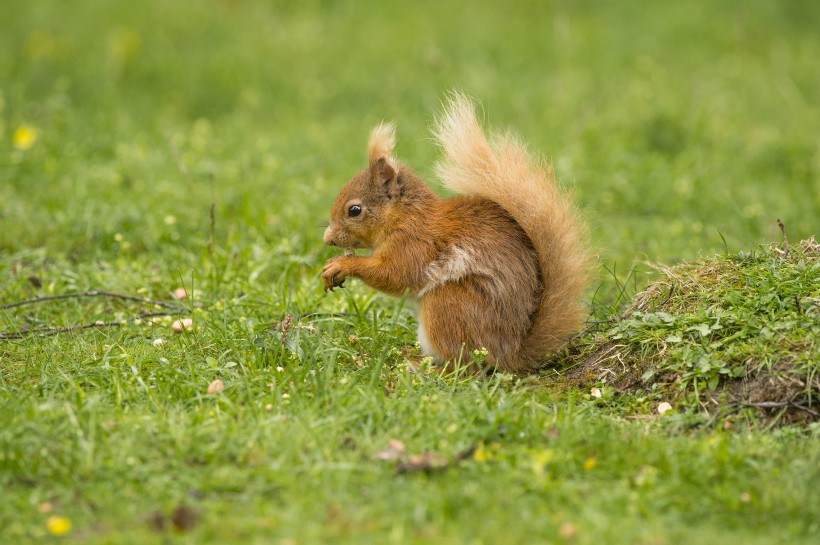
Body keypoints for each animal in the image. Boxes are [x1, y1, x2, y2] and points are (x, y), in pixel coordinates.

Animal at [322, 94, 588, 374]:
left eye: (354, 210)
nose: (327, 239)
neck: (403, 216)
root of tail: (510, 354)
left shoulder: (414, 244)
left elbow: (394, 275)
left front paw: (342, 264)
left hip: (447, 306)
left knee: (465, 367)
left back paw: (428, 369)